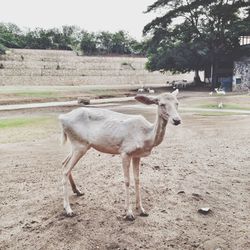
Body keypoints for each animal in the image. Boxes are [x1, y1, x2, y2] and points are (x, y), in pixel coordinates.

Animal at [59, 89, 183, 220]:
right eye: (162, 104)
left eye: (177, 103)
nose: (177, 120)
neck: (145, 136)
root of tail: (61, 118)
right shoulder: (125, 151)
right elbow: (127, 180)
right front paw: (128, 212)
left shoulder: (137, 155)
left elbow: (137, 179)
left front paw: (142, 210)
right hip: (80, 144)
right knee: (66, 169)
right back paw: (68, 209)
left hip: (77, 145)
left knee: (63, 162)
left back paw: (77, 191)